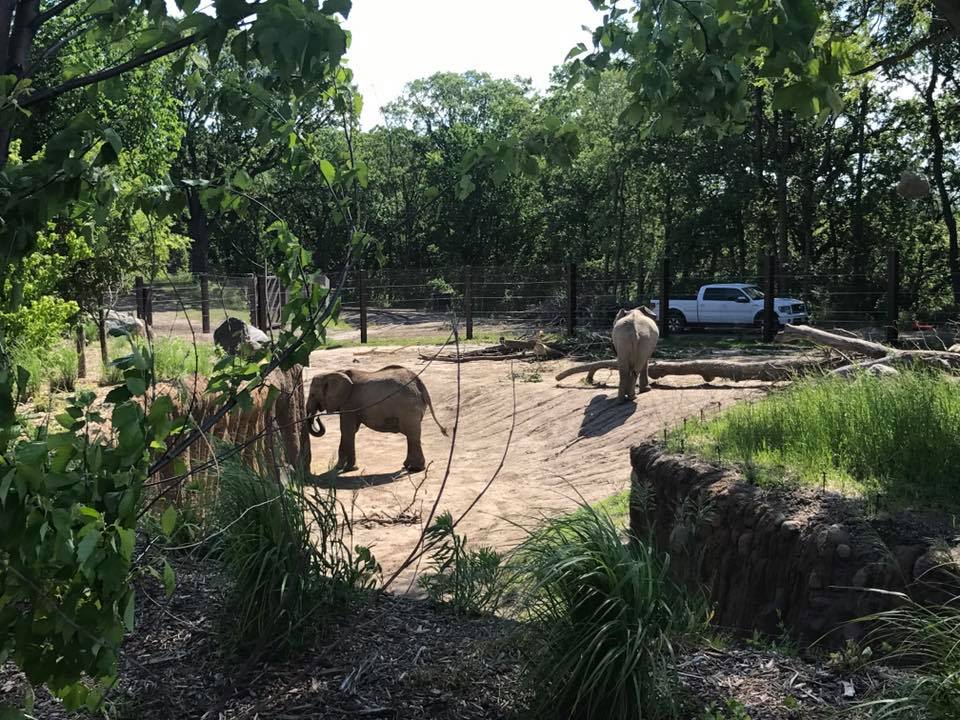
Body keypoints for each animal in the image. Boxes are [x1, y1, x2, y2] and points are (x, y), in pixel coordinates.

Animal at [306, 365, 447, 472]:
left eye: (312, 394)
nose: (317, 417)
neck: (334, 373)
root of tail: (420, 383)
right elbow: (351, 430)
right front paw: (350, 468)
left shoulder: (349, 403)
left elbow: (346, 430)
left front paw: (340, 468)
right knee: (412, 434)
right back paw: (408, 466)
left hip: (409, 407)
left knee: (412, 434)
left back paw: (414, 469)